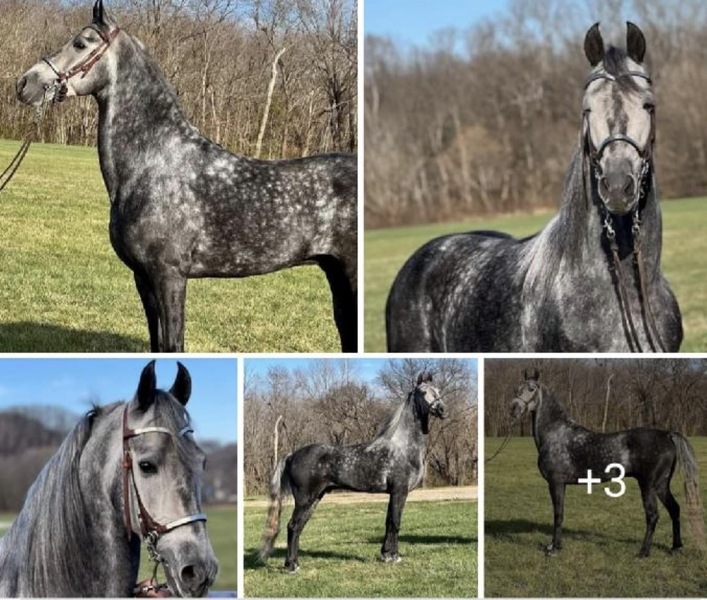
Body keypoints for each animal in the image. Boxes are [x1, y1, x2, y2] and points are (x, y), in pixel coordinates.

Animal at [16, 0, 358, 353]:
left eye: (81, 43)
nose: (26, 83)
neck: (152, 164)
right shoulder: (143, 278)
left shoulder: (169, 275)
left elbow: (173, 344)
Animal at [259, 372, 447, 572]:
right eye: (423, 392)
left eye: (438, 390)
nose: (443, 409)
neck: (402, 447)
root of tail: (292, 455)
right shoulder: (399, 491)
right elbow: (395, 523)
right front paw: (394, 556)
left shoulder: (393, 493)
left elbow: (388, 521)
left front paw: (386, 554)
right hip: (305, 500)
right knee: (293, 526)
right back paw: (292, 566)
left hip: (315, 499)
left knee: (298, 527)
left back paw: (293, 563)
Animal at [510, 369, 704, 557]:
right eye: (518, 388)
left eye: (531, 389)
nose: (514, 409)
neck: (556, 434)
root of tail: (667, 434)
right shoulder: (560, 484)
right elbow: (559, 514)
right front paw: (553, 545)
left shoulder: (556, 482)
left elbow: (558, 514)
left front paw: (554, 548)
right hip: (662, 484)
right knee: (674, 509)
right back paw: (676, 547)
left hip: (648, 485)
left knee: (653, 515)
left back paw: (643, 552)